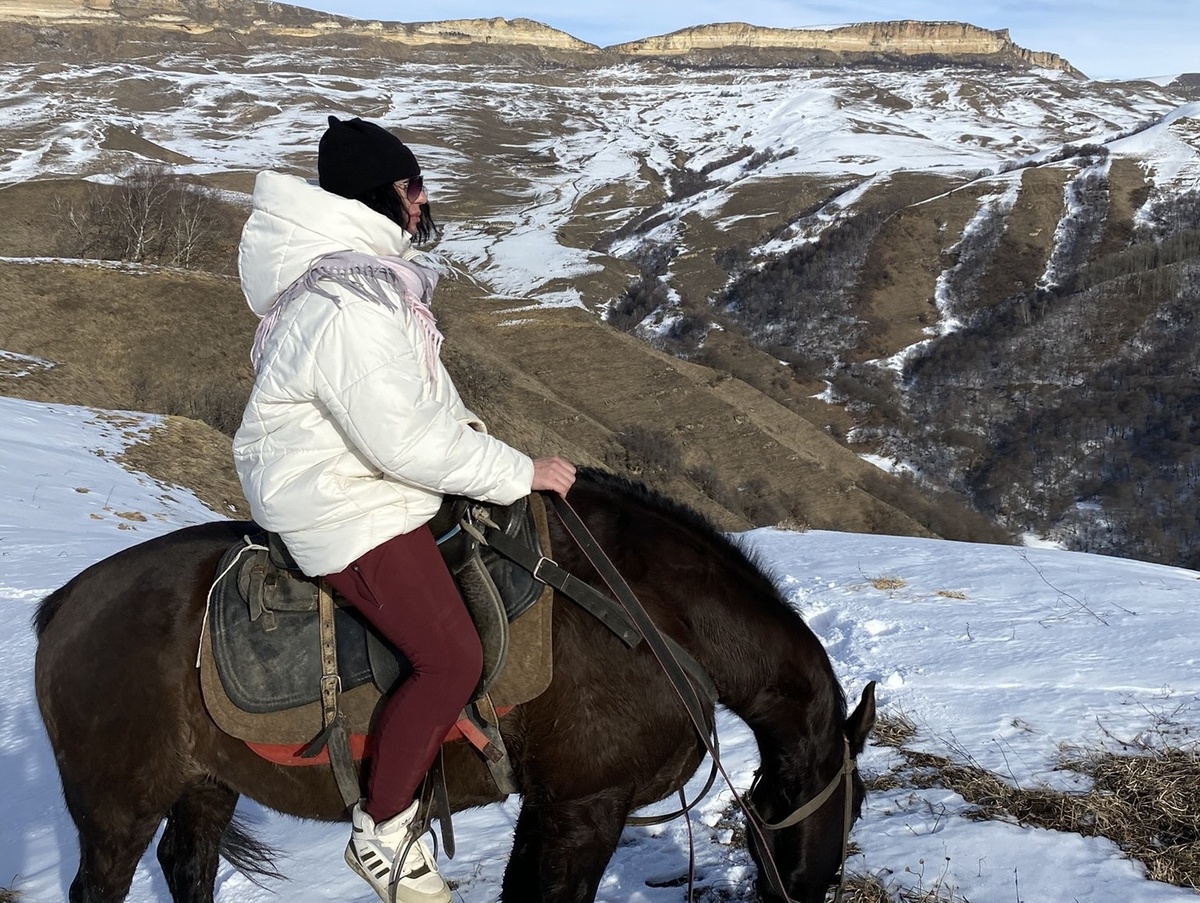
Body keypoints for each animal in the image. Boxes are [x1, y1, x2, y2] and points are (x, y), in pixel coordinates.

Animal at [34, 467, 875, 903]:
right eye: (857, 803)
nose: (819, 887)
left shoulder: (552, 807)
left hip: (206, 784)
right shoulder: (585, 808)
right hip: (116, 807)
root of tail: (67, 604)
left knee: (189, 864)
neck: (650, 616)